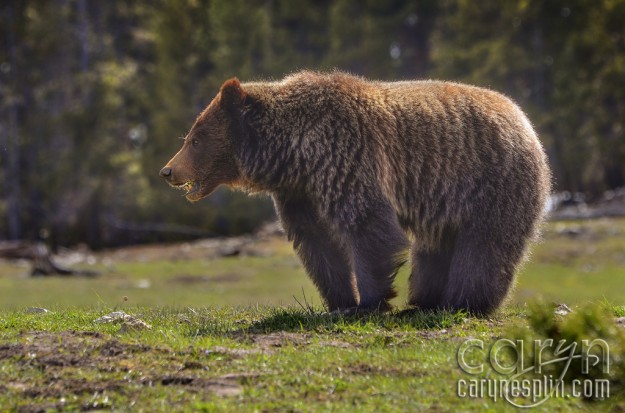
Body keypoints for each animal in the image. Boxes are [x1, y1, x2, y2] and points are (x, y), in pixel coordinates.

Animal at [161, 71, 552, 316]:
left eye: (195, 139)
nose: (168, 171)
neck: (294, 152)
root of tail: (524, 120)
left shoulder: (347, 156)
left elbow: (367, 226)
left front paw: (369, 301)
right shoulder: (300, 191)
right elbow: (318, 242)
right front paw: (340, 301)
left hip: (491, 181)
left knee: (486, 245)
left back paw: (465, 303)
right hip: (445, 200)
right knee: (437, 246)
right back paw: (425, 300)